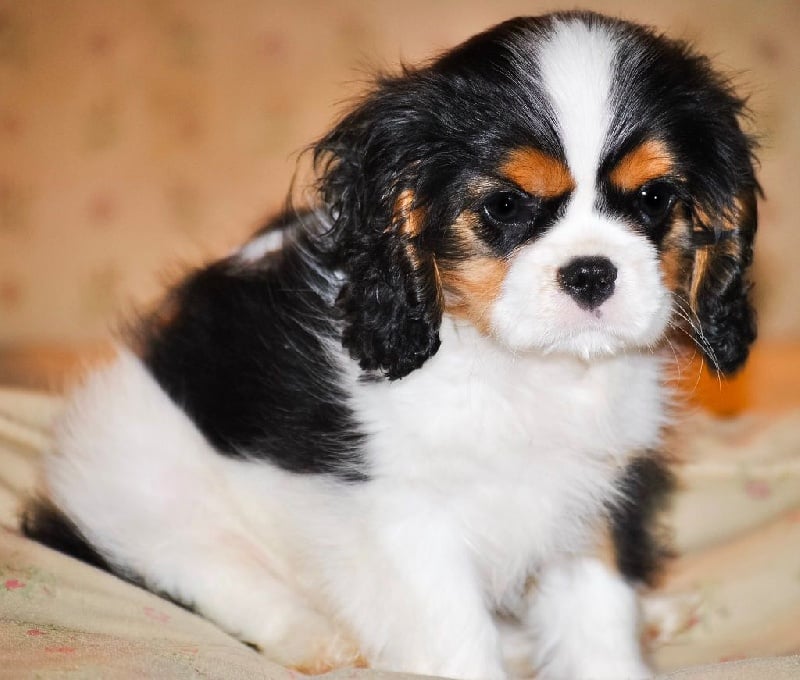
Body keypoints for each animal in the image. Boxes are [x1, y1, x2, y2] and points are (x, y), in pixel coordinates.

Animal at [23, 11, 758, 679]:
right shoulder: (409, 522)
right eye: (504, 206)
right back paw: (316, 638)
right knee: (210, 573)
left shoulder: (595, 493)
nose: (591, 272)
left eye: (654, 198)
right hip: (138, 476)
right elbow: (458, 637)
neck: (521, 366)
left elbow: (597, 617)